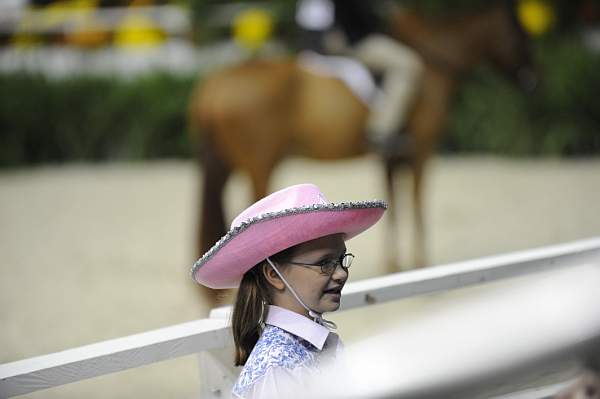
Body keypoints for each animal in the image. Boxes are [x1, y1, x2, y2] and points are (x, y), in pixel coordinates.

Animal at [188, 2, 536, 306]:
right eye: (519, 32)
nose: (533, 80)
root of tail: (216, 81)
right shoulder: (421, 152)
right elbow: (417, 204)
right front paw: (421, 266)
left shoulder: (391, 156)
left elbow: (395, 204)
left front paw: (394, 266)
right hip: (260, 165)